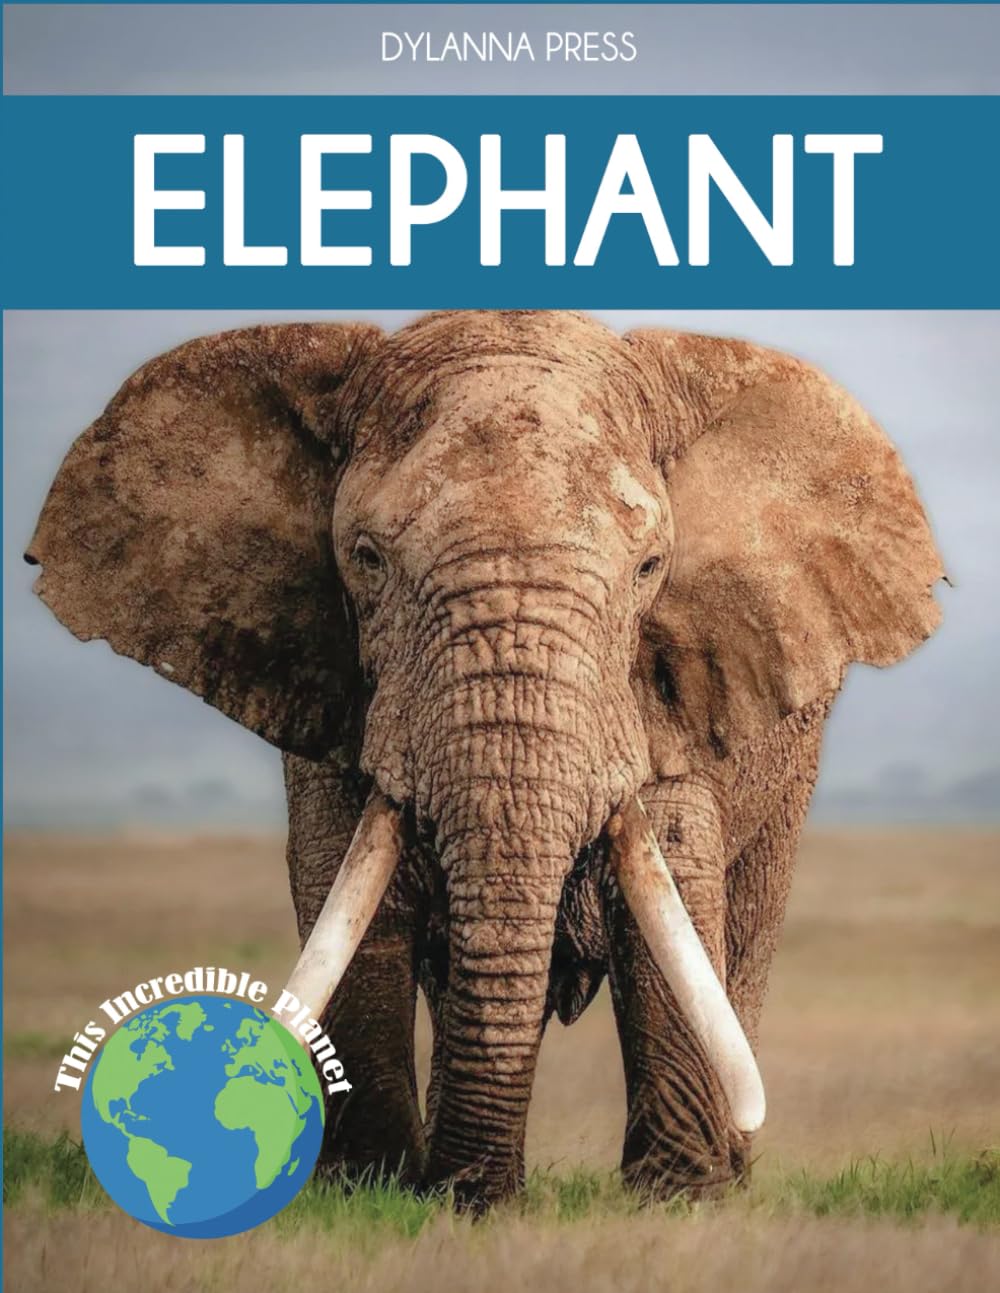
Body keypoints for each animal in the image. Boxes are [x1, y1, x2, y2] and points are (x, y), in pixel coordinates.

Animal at [26, 310, 943, 1211]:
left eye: (649, 568)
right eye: (366, 558)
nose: (474, 1197)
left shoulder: (673, 687)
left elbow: (674, 889)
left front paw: (678, 1202)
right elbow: (344, 887)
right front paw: (369, 1192)